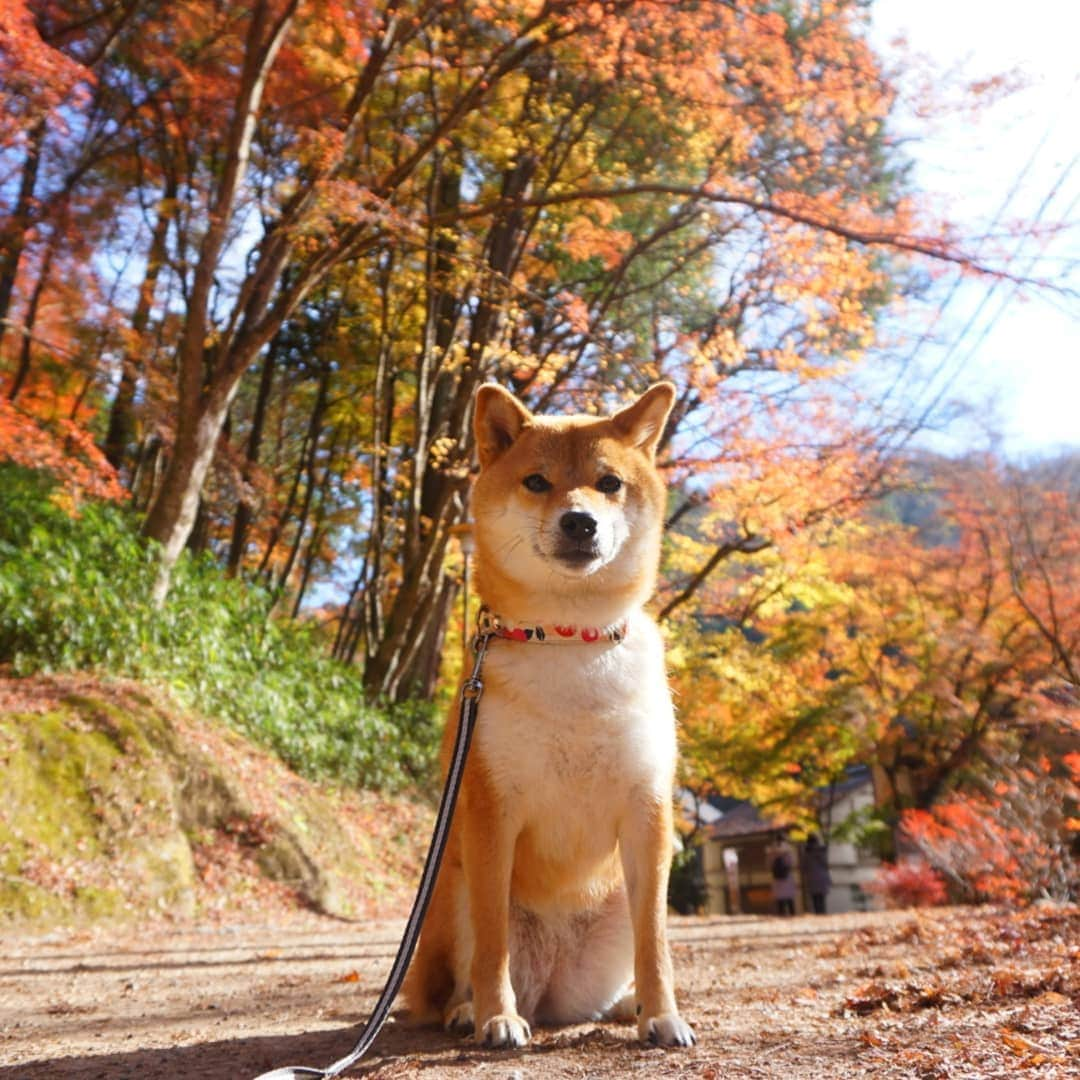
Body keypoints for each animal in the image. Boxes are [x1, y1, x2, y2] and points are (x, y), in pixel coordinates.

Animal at [401, 380, 695, 1045]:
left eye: (609, 483)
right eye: (537, 482)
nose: (580, 520)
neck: (568, 639)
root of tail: (555, 992)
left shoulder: (647, 810)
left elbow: (657, 942)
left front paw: (663, 1014)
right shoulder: (490, 811)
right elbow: (493, 948)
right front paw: (496, 1016)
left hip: (614, 905)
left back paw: (627, 1006)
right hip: (452, 888)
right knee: (461, 974)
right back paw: (468, 1010)